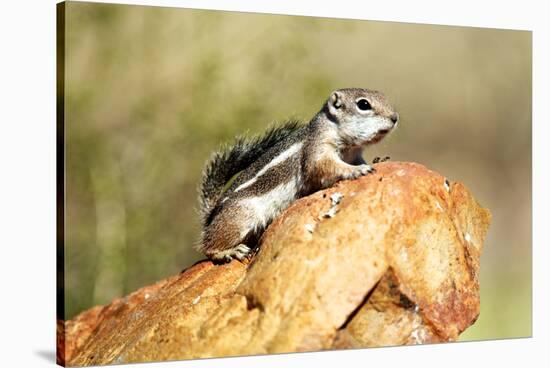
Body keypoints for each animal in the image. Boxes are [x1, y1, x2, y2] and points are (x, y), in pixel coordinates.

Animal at [196, 88, 398, 264]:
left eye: (383, 95)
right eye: (363, 104)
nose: (395, 118)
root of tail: (213, 215)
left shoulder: (354, 154)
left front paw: (377, 160)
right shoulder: (317, 151)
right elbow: (325, 168)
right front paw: (357, 170)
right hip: (241, 216)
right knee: (209, 246)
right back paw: (229, 251)